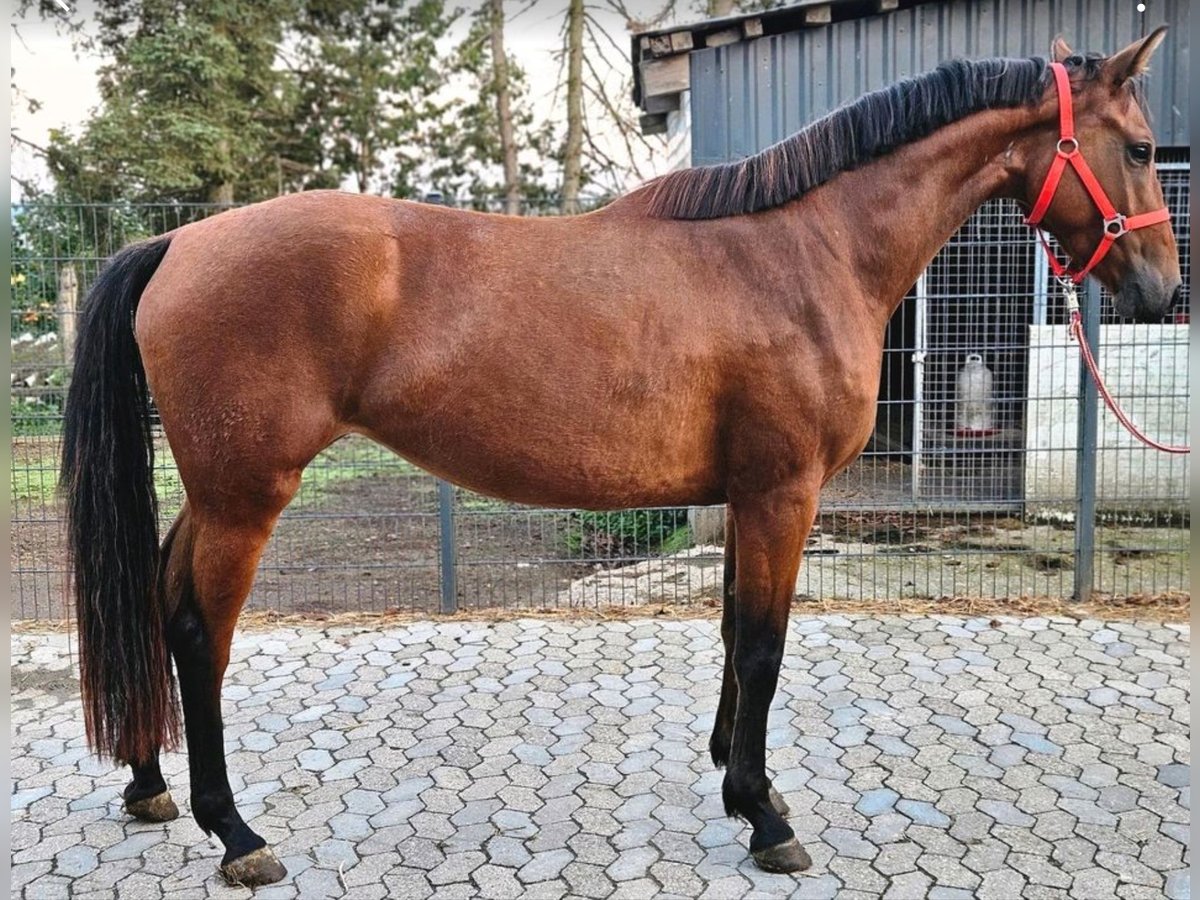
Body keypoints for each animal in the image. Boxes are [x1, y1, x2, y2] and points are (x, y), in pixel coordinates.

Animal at [61, 29, 1179, 884]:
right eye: (1138, 146)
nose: (1163, 292)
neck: (805, 252)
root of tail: (179, 243)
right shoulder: (783, 492)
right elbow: (763, 645)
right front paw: (766, 819)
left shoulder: (747, 495)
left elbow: (733, 632)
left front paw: (742, 780)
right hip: (248, 496)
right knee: (198, 632)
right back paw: (236, 834)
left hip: (216, 492)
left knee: (156, 599)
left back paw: (150, 786)